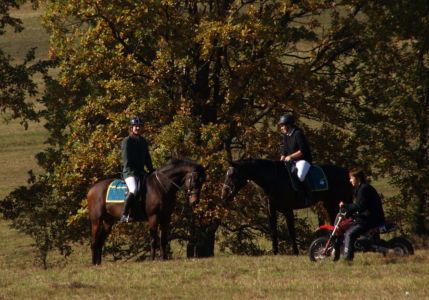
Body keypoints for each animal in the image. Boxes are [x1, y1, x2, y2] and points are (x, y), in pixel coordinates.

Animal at [221, 158, 352, 254]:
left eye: (232, 175)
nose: (224, 195)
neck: (272, 180)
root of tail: (346, 172)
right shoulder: (271, 210)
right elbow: (273, 230)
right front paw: (275, 252)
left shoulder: (288, 210)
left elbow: (291, 230)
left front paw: (295, 252)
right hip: (329, 204)